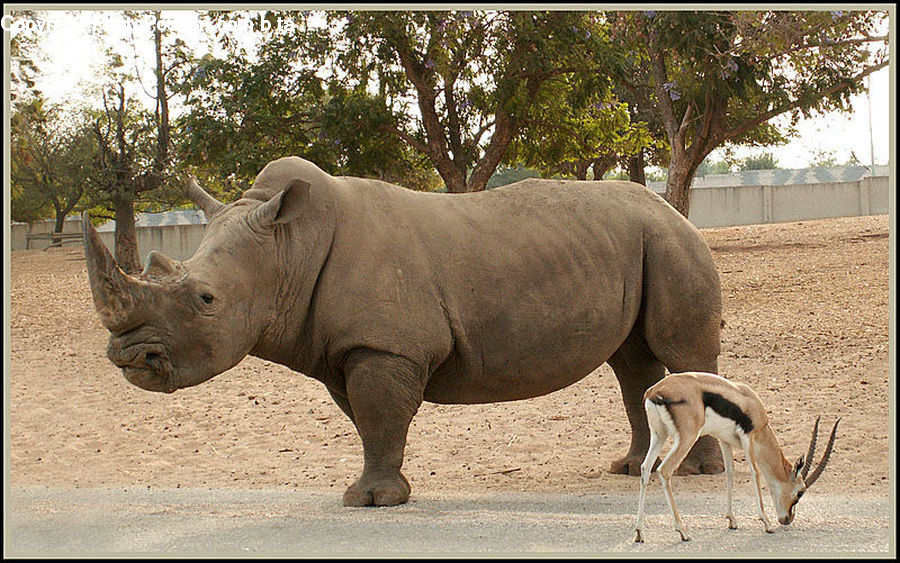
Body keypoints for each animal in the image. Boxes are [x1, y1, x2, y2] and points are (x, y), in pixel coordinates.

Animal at [84, 156, 723, 507]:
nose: (130, 357)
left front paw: (369, 502)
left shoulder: (384, 346)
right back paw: (634, 469)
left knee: (679, 352)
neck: (288, 248)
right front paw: (378, 492)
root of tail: (673, 210)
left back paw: (695, 474)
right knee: (632, 363)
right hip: (638, 242)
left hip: (671, 242)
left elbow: (379, 416)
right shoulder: (344, 349)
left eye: (206, 299)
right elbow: (370, 421)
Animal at [633, 371, 839, 543]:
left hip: (659, 436)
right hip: (686, 438)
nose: (787, 519)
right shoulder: (749, 437)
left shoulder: (724, 440)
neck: (750, 405)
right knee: (664, 471)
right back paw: (683, 532)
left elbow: (730, 474)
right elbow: (755, 473)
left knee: (645, 468)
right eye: (800, 492)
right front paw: (767, 523)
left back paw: (639, 533)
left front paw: (732, 520)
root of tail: (655, 392)